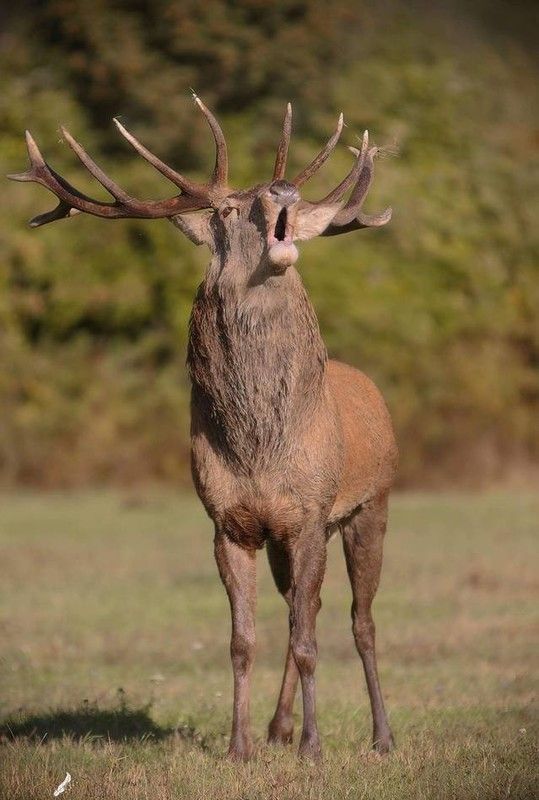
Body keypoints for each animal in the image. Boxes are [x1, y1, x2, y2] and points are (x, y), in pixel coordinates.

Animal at [7, 97, 396, 760]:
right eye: (227, 209)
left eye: (279, 196)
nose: (284, 188)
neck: (259, 445)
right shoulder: (231, 521)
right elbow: (243, 641)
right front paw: (240, 747)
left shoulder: (310, 512)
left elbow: (309, 641)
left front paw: (314, 749)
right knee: (305, 608)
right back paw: (277, 728)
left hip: (371, 504)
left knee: (359, 621)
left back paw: (381, 736)